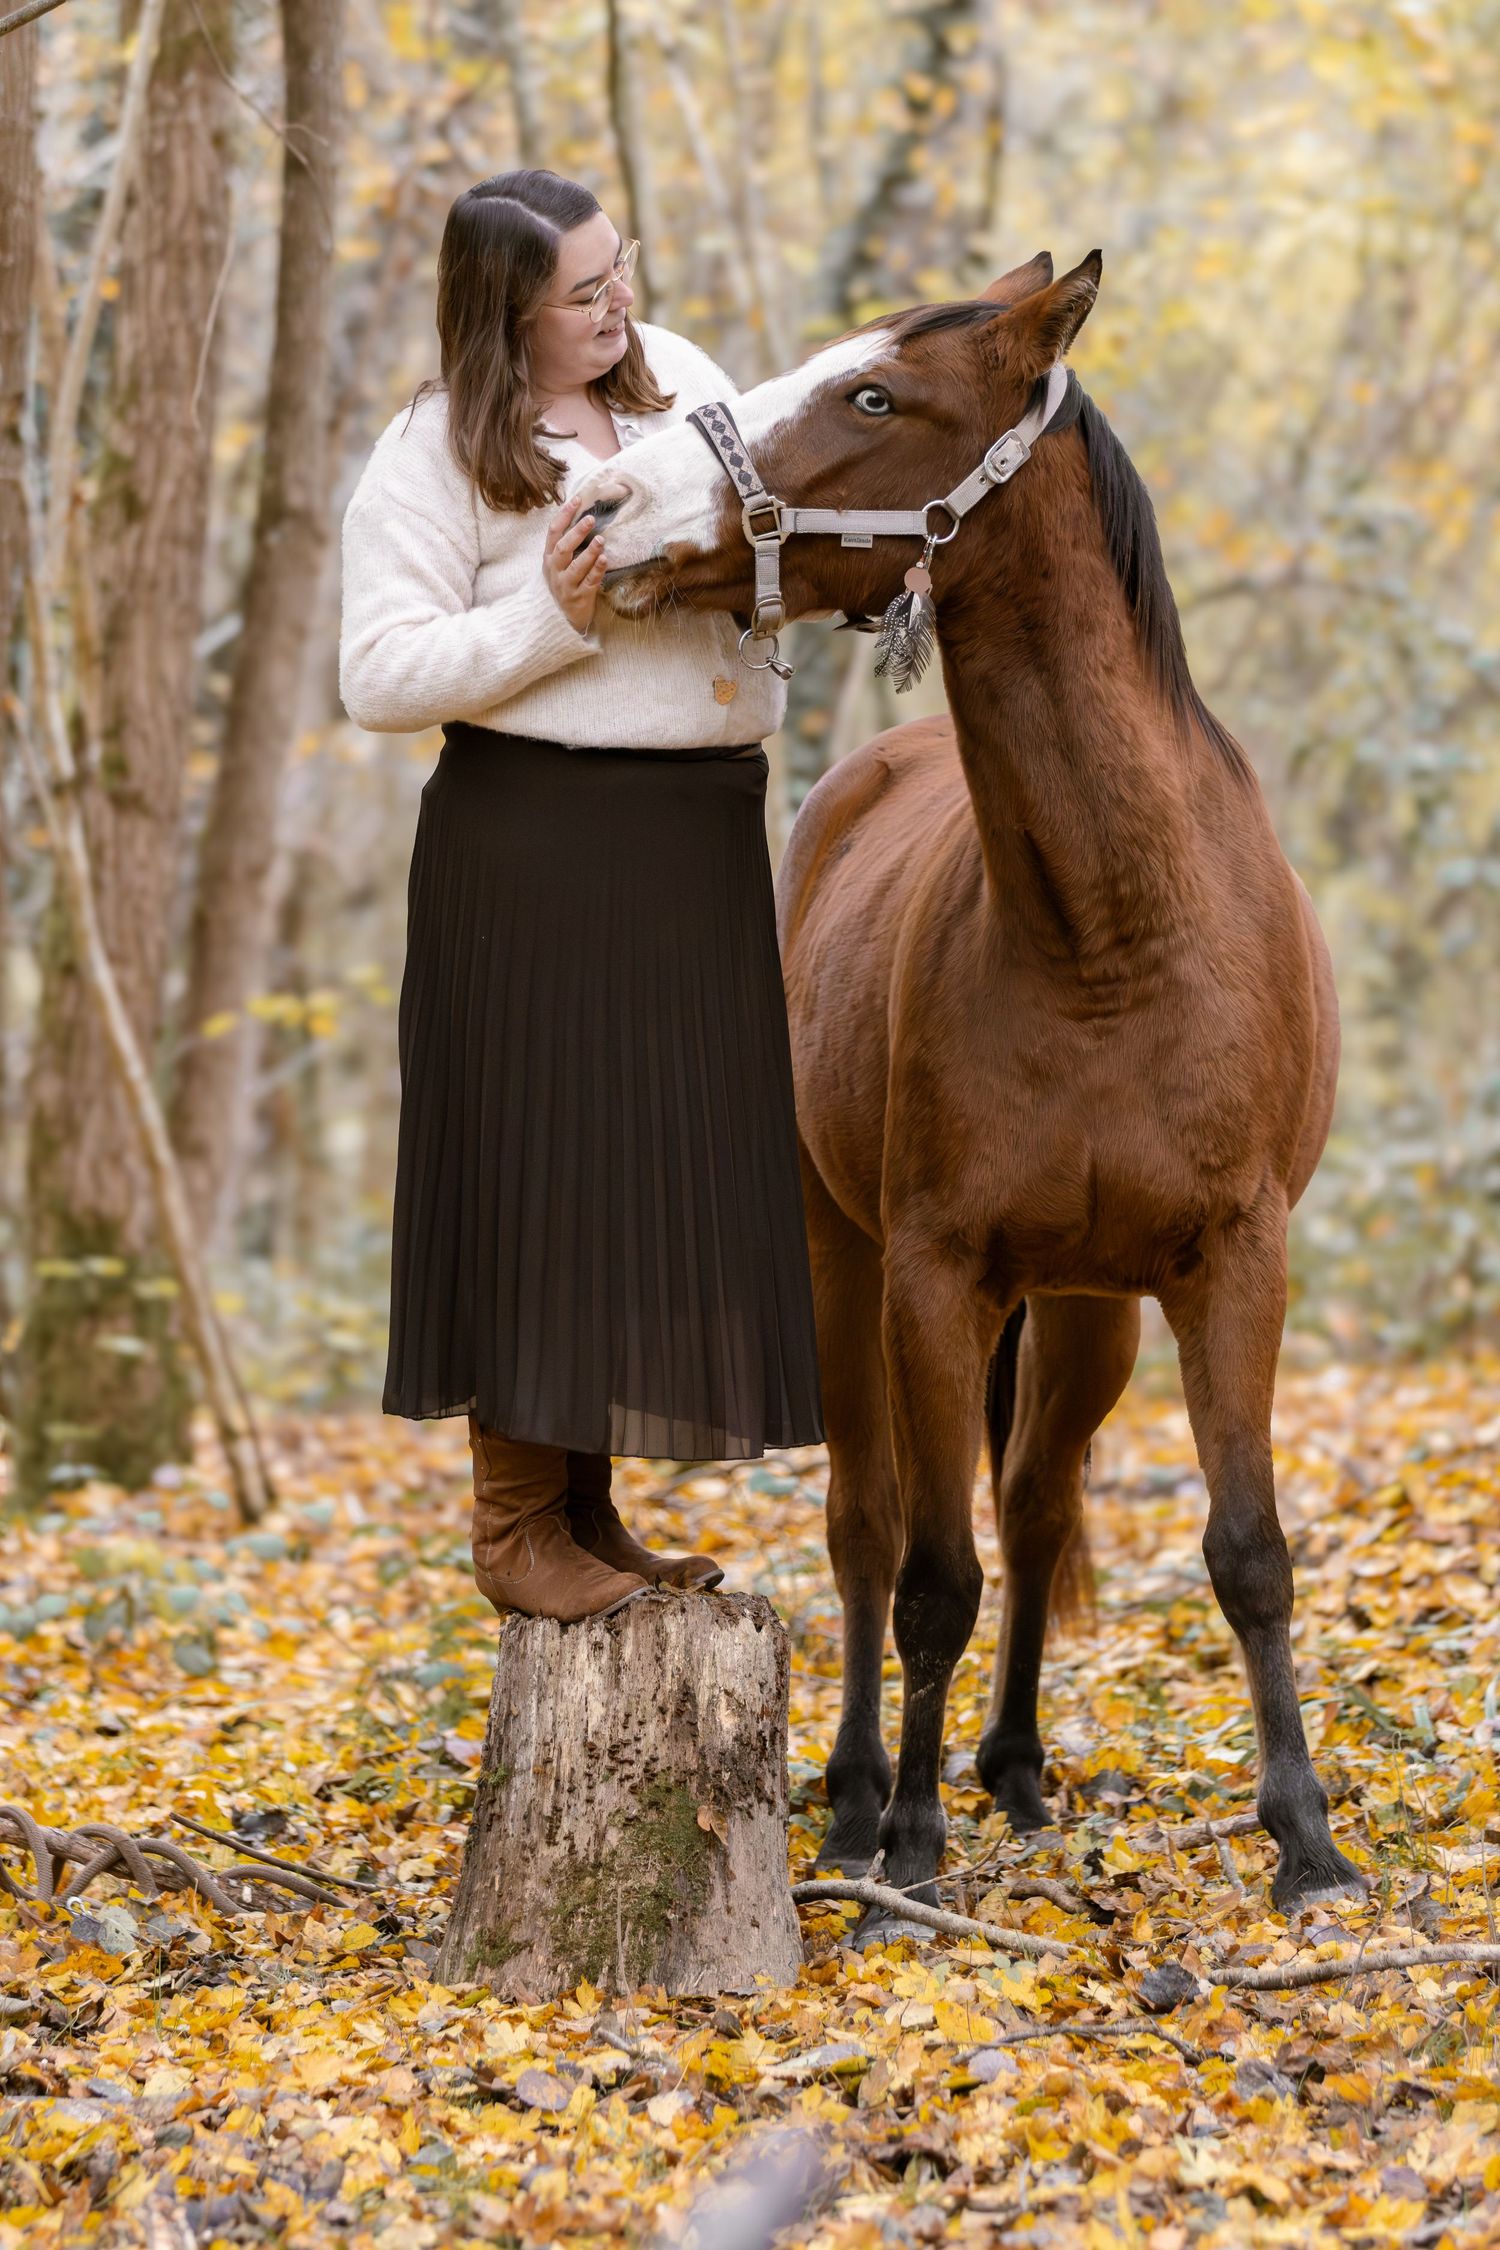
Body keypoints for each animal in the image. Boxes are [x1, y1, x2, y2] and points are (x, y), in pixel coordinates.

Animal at [576, 251, 1367, 1932]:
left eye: (877, 393)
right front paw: (907, 1845)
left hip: (1086, 1309)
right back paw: (869, 1784)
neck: (1110, 933)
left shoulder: (1233, 1264)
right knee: (874, 1530)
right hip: (847, 1261)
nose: (605, 503)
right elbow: (930, 1568)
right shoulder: (932, 1273)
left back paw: (1013, 1761)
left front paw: (1308, 1840)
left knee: (1039, 1503)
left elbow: (1247, 1550)